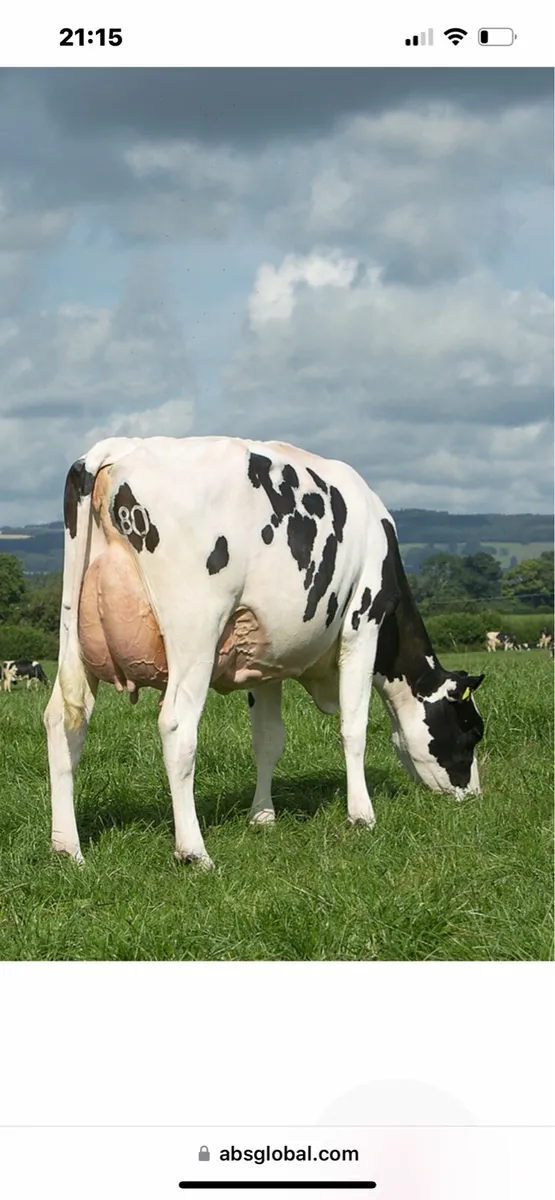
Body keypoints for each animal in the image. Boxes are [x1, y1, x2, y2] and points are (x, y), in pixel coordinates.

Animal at [44, 436, 485, 869]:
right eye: (471, 732)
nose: (474, 795)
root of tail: (117, 448)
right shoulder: (362, 626)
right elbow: (354, 727)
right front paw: (361, 815)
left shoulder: (265, 660)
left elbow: (268, 739)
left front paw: (262, 816)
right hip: (195, 630)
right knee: (176, 726)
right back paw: (193, 850)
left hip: (72, 633)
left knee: (64, 720)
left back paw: (67, 848)